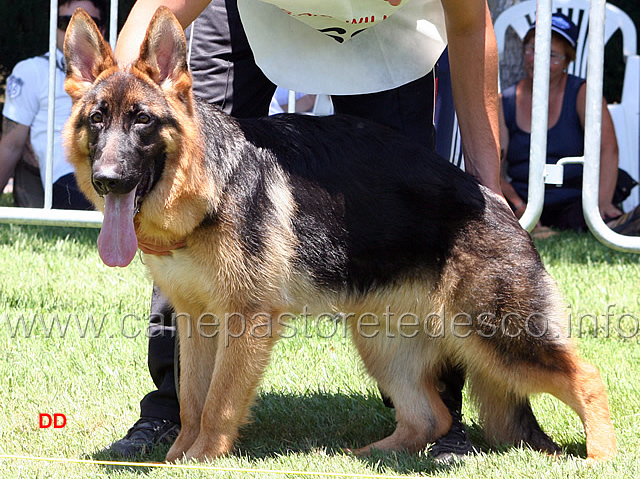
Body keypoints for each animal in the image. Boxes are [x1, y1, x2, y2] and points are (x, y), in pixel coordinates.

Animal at [63, 8, 616, 464]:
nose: (108, 180)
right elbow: (192, 401)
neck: (206, 185)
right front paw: (175, 457)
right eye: (98, 120)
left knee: (586, 376)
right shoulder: (197, 320)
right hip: (381, 341)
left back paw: (601, 456)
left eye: (142, 120)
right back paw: (370, 454)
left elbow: (218, 403)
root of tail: (498, 203)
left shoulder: (245, 322)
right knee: (429, 416)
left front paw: (201, 461)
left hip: (498, 336)